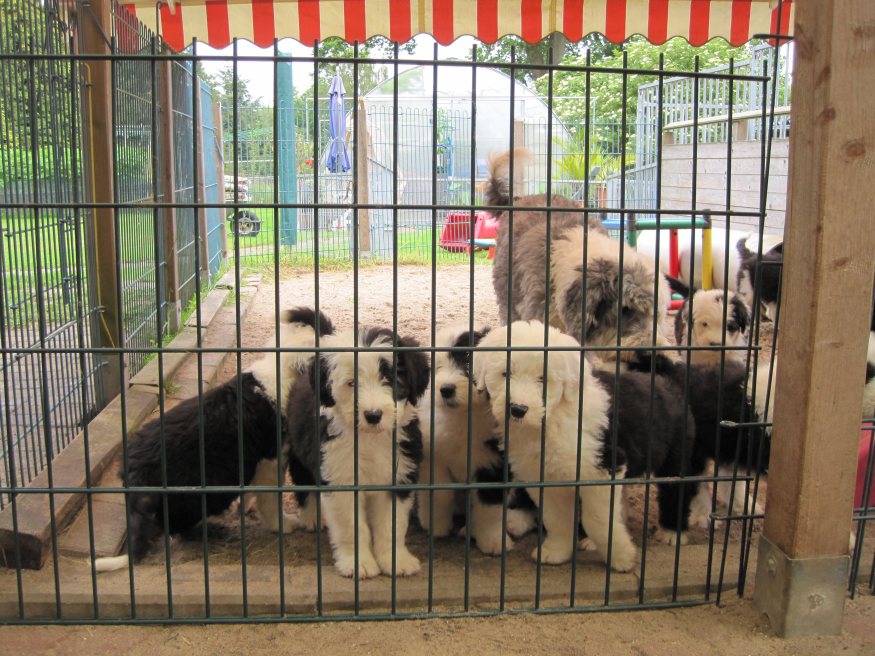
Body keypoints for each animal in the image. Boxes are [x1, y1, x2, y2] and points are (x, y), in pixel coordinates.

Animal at [92, 307, 333, 573]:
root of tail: (133, 476)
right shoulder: (270, 460)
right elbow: (270, 498)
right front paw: (283, 525)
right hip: (200, 488)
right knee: (177, 526)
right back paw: (211, 530)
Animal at [284, 325, 430, 579]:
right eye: (352, 383)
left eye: (391, 379)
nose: (373, 415)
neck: (369, 439)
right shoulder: (341, 479)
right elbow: (351, 527)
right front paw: (358, 563)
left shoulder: (398, 476)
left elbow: (392, 525)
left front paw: (396, 561)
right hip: (299, 449)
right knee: (304, 481)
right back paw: (311, 517)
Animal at [416, 325, 535, 555]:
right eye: (437, 366)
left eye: (468, 361)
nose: (445, 389)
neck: (464, 416)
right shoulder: (435, 458)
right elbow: (438, 495)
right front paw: (436, 526)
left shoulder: (493, 464)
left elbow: (489, 506)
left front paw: (493, 542)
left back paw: (512, 522)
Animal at [473, 321, 638, 572]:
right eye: (505, 373)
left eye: (543, 378)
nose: (518, 409)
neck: (551, 419)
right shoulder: (543, 477)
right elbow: (557, 518)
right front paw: (556, 551)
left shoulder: (602, 468)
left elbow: (598, 519)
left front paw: (622, 557)